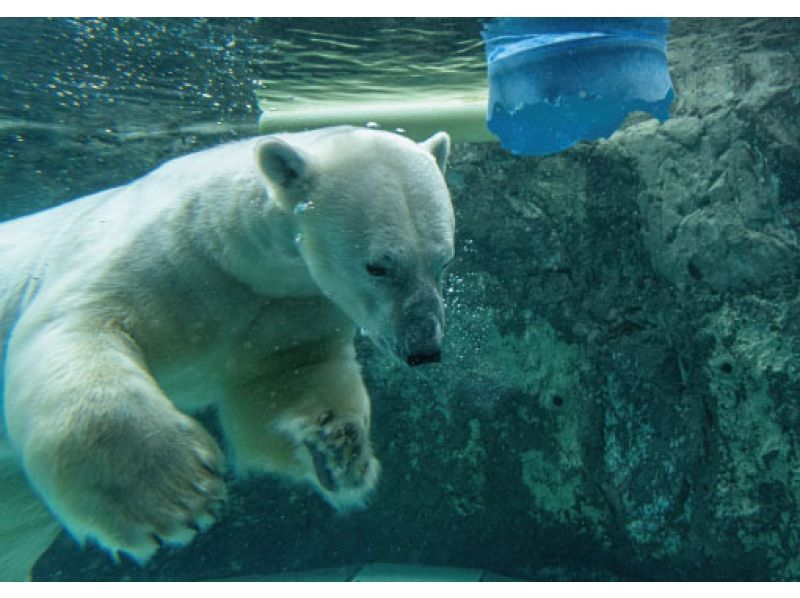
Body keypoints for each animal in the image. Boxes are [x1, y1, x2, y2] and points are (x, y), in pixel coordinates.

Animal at [0, 126, 450, 580]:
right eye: (377, 266)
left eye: (442, 261)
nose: (424, 348)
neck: (234, 253)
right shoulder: (166, 256)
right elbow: (76, 324)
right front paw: (174, 497)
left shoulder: (287, 304)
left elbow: (285, 376)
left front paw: (340, 449)